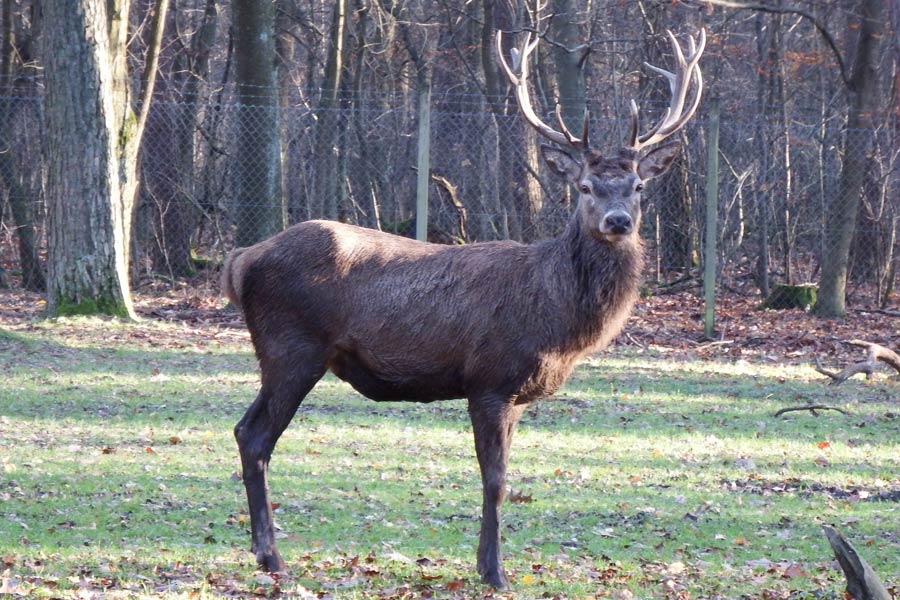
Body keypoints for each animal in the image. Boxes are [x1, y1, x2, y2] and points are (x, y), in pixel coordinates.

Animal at [222, 27, 705, 589]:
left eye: (638, 186)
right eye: (585, 186)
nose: (618, 221)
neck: (558, 321)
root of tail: (243, 259)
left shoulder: (516, 396)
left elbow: (503, 477)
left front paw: (484, 563)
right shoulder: (490, 379)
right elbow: (495, 480)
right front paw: (495, 573)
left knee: (247, 431)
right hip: (291, 347)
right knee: (254, 435)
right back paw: (271, 557)